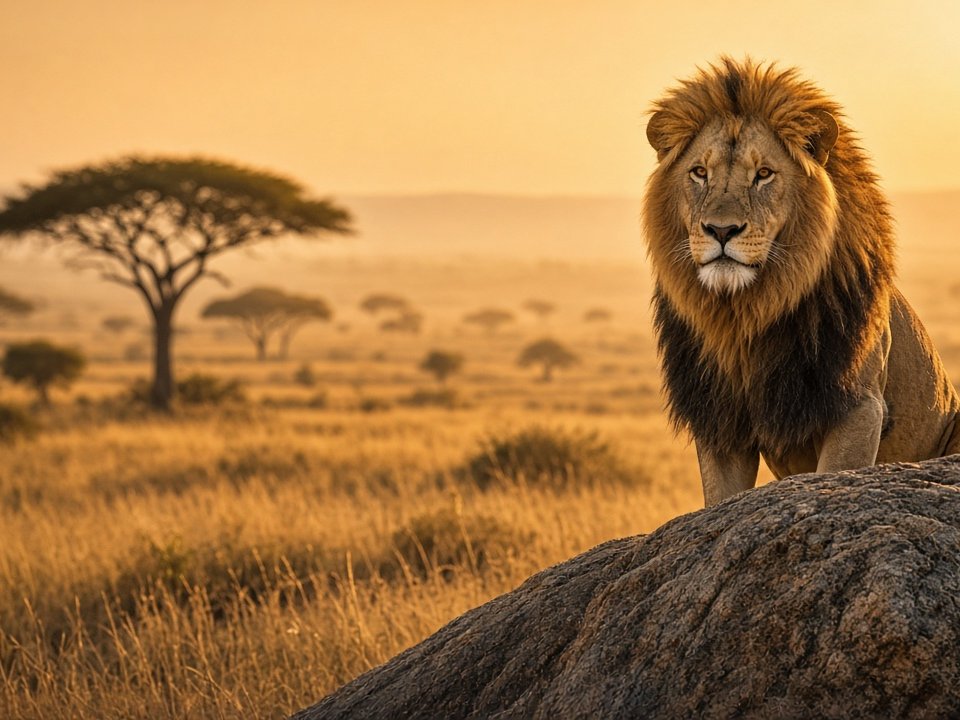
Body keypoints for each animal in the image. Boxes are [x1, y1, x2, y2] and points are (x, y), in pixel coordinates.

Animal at [642, 57, 960, 506]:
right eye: (699, 172)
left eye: (764, 174)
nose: (721, 230)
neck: (746, 315)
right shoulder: (720, 423)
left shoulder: (860, 407)